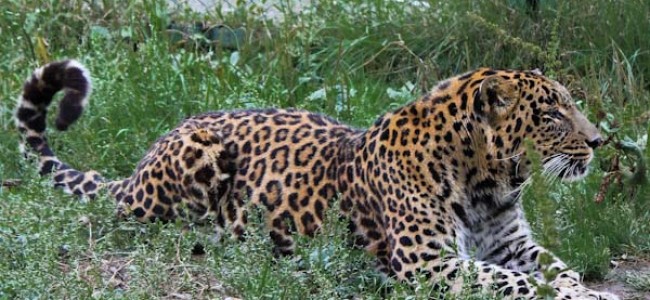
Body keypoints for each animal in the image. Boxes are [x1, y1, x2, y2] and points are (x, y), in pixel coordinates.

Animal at [17, 59, 616, 300]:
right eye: (552, 114)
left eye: (568, 106)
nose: (599, 141)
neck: (489, 180)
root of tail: (138, 168)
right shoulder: (429, 264)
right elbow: (516, 283)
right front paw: (582, 295)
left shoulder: (511, 245)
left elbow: (551, 269)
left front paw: (581, 287)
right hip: (196, 161)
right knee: (152, 227)